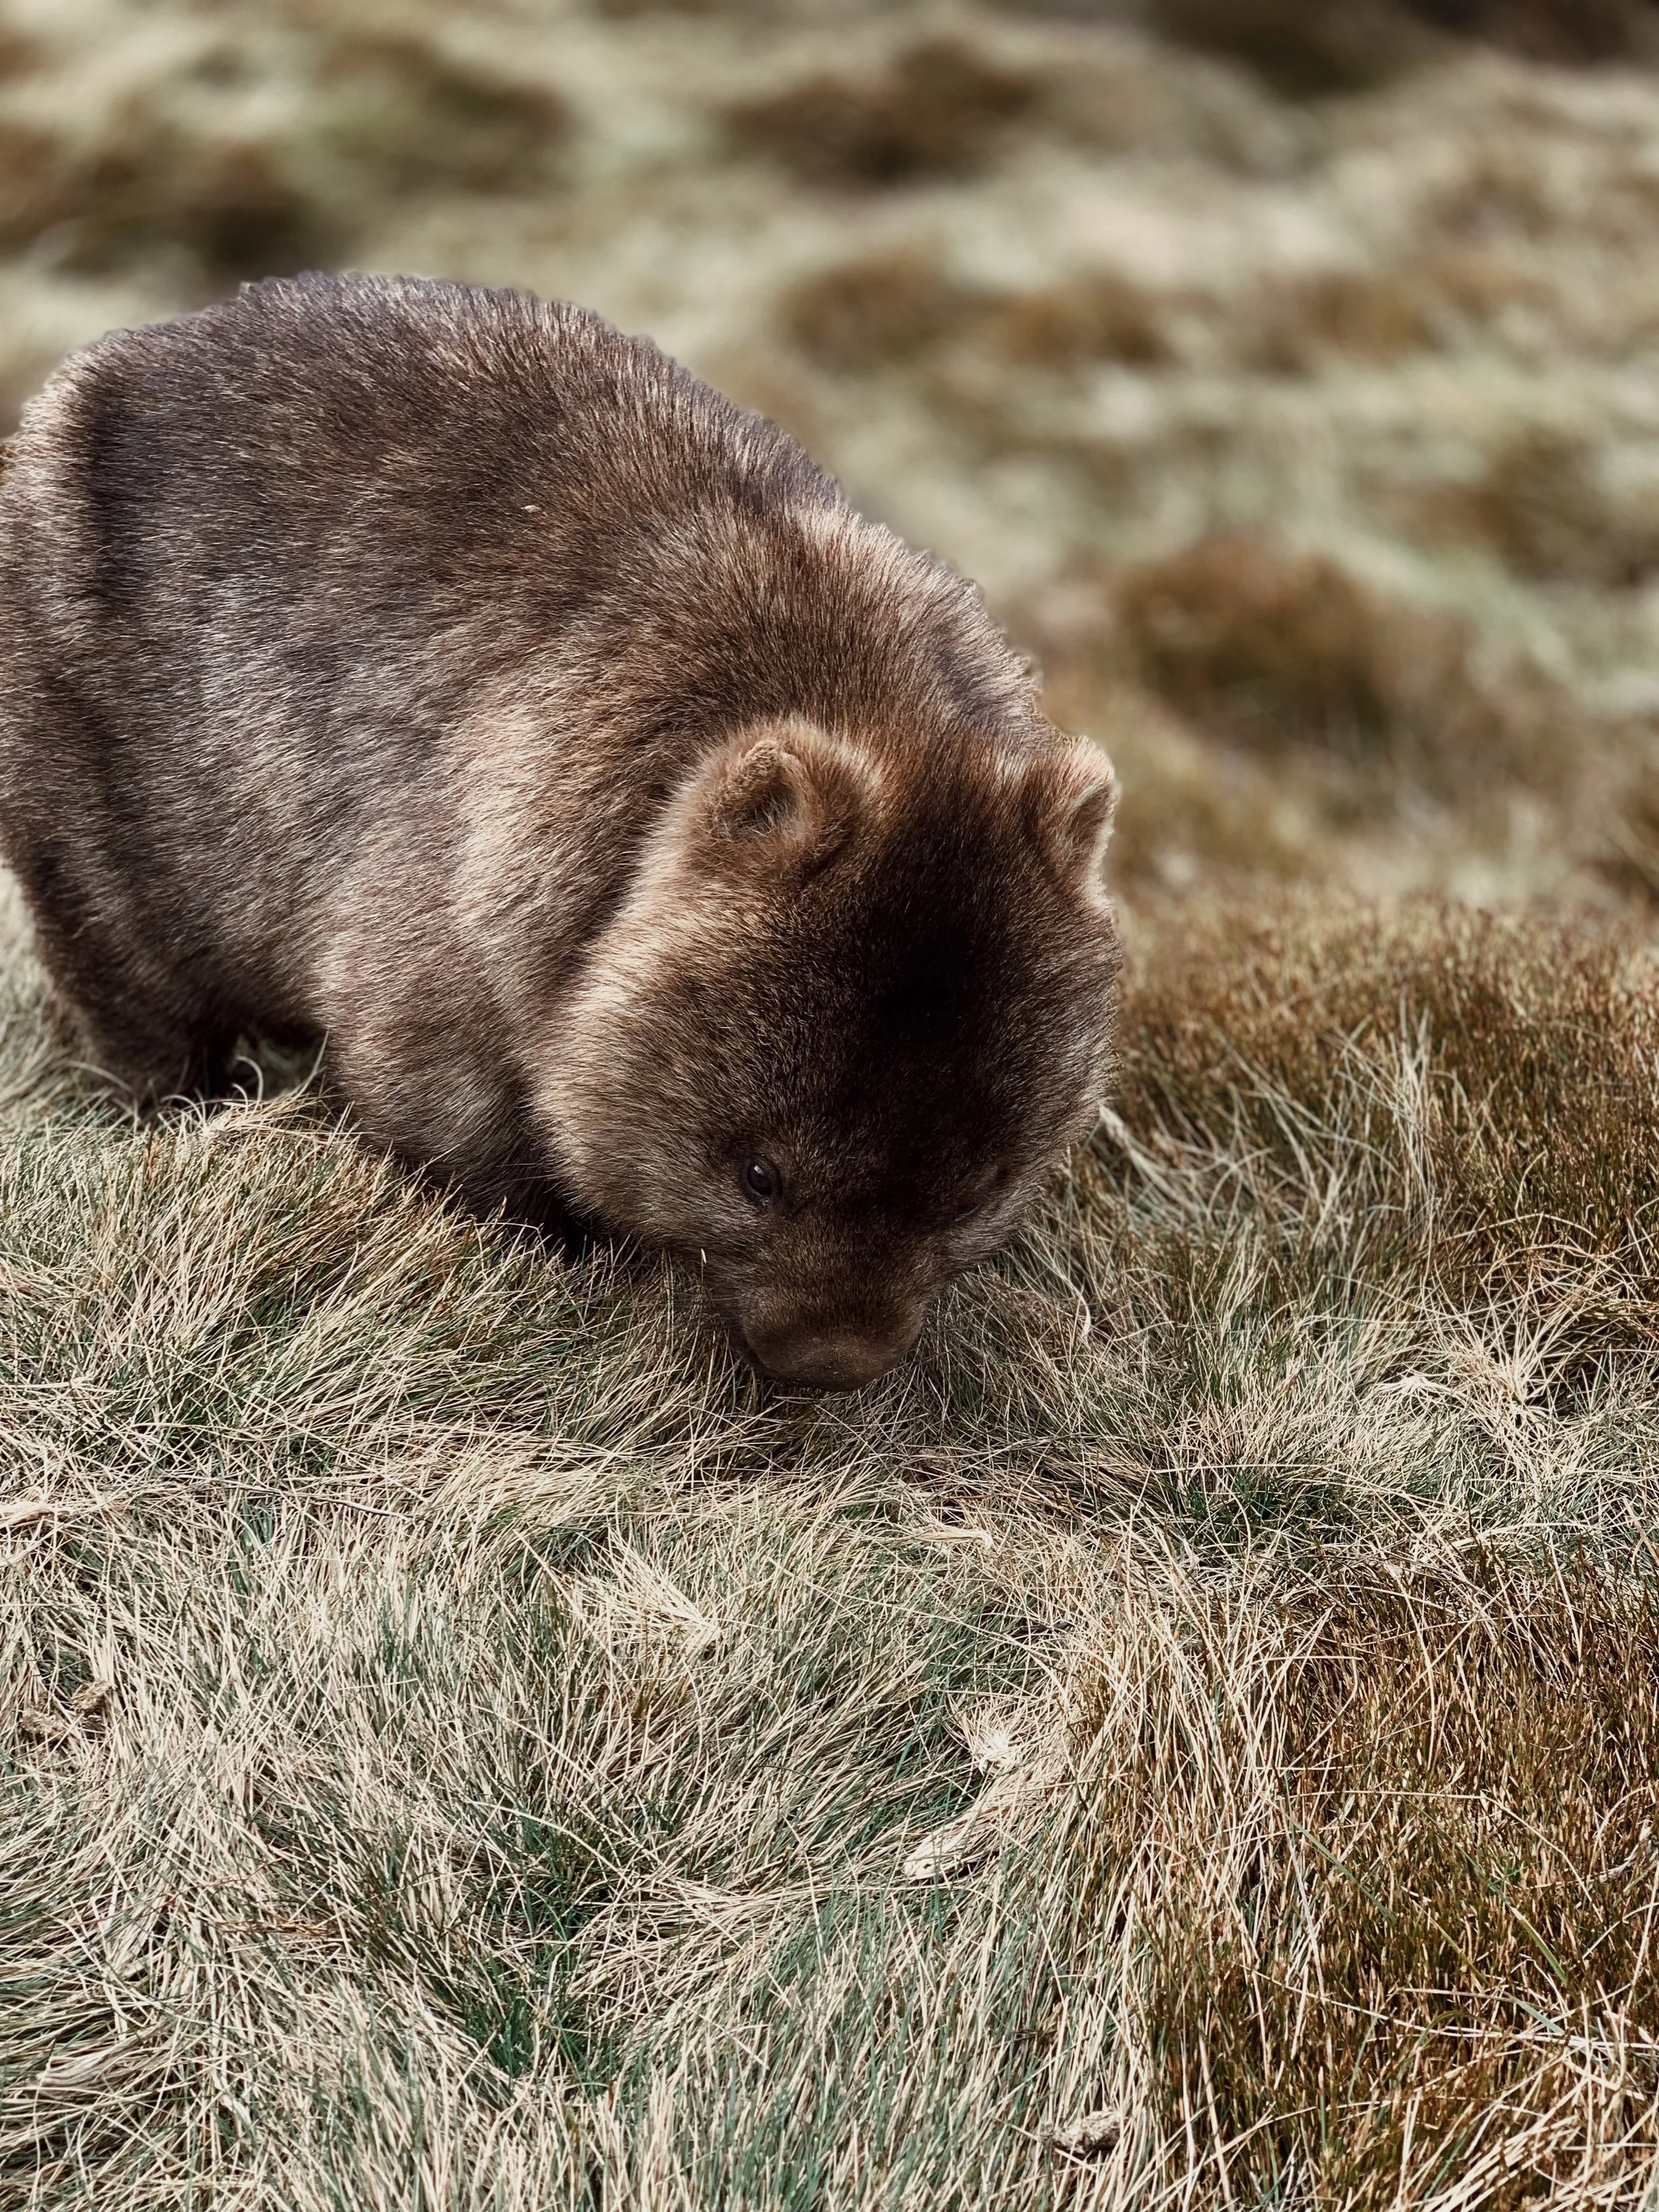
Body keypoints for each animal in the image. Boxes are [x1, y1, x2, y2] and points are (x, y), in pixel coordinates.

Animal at [0, 272, 1121, 1390]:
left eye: (976, 1194)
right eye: (757, 1176)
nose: (827, 1363)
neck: (852, 696)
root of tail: (147, 338)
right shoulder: (467, 911)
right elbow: (442, 1101)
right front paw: (572, 1251)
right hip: (75, 720)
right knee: (124, 958)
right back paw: (185, 1103)